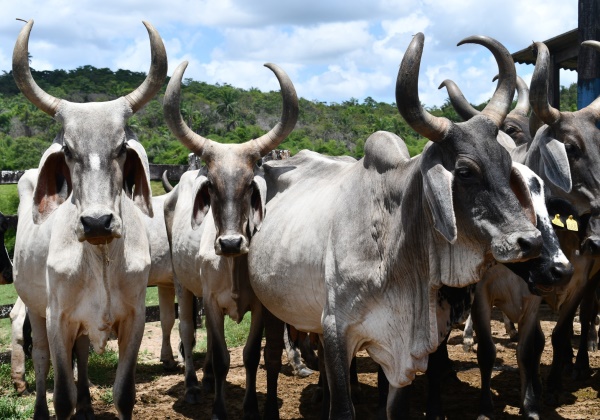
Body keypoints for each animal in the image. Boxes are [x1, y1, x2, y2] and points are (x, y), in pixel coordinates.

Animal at [11, 20, 166, 420]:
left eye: (122, 147)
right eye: (67, 149)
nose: (97, 222)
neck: (100, 257)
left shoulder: (134, 319)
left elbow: (123, 393)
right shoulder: (58, 318)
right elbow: (61, 395)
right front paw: (61, 405)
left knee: (81, 354)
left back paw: (86, 405)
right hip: (34, 308)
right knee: (40, 360)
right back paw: (39, 408)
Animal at [248, 33, 544, 420]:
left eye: (506, 163)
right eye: (464, 171)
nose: (530, 241)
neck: (392, 246)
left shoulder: (401, 350)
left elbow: (395, 407)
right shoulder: (336, 329)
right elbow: (342, 408)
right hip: (267, 306)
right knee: (267, 354)